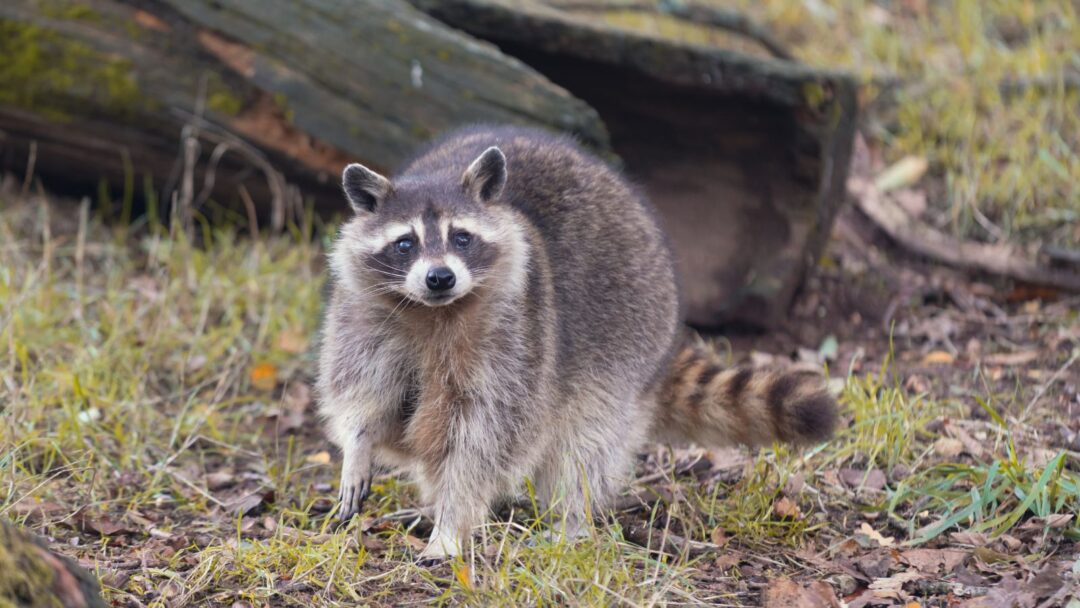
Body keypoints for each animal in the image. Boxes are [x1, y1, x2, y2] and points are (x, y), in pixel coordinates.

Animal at [317, 125, 836, 561]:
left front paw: (453, 522)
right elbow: (361, 395)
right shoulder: (362, 320)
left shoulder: (517, 342)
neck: (432, 312)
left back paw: (568, 523)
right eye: (405, 243)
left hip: (628, 343)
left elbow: (481, 440)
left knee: (585, 444)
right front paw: (358, 447)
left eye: (461, 237)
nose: (440, 277)